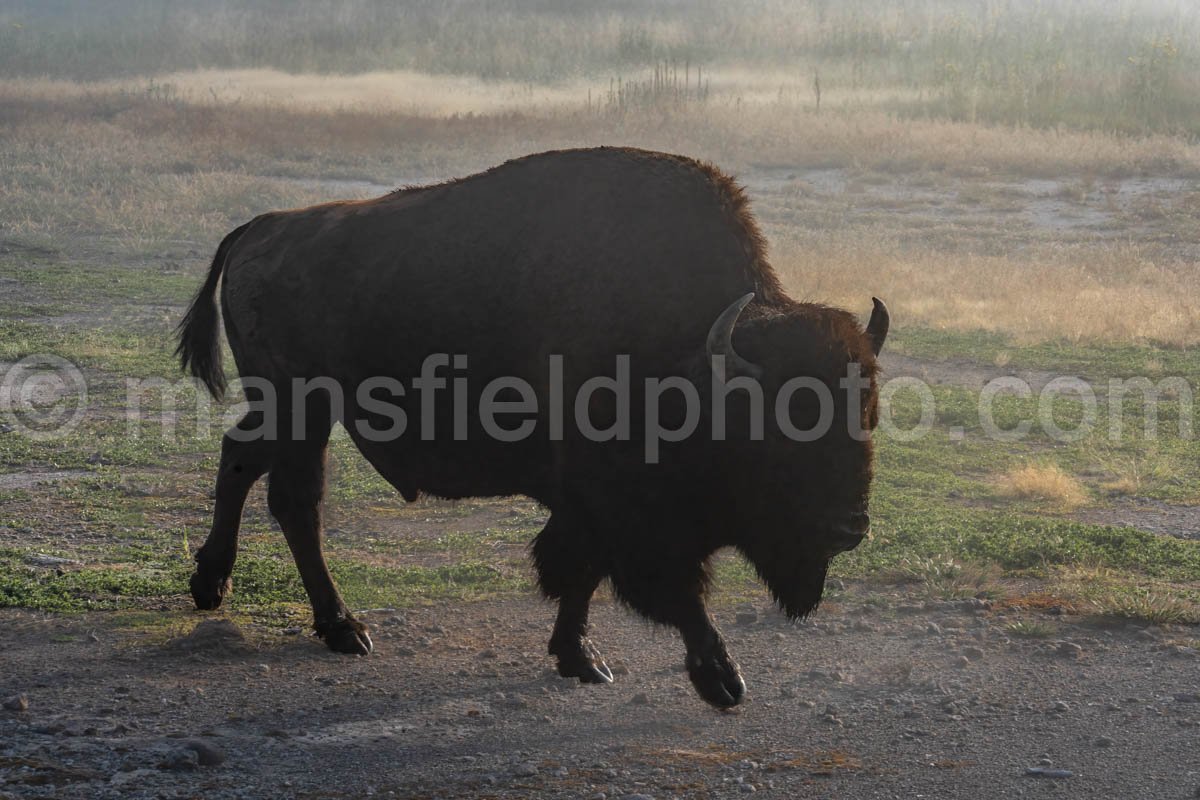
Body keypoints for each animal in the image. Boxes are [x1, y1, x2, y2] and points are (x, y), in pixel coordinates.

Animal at [180, 148, 892, 705]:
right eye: (780, 433)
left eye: (868, 415)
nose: (848, 529)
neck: (695, 353)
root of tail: (259, 228)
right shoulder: (620, 508)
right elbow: (653, 583)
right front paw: (720, 680)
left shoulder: (591, 507)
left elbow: (581, 574)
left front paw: (583, 660)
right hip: (300, 408)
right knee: (293, 500)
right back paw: (339, 627)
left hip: (297, 413)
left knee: (247, 462)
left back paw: (219, 588)